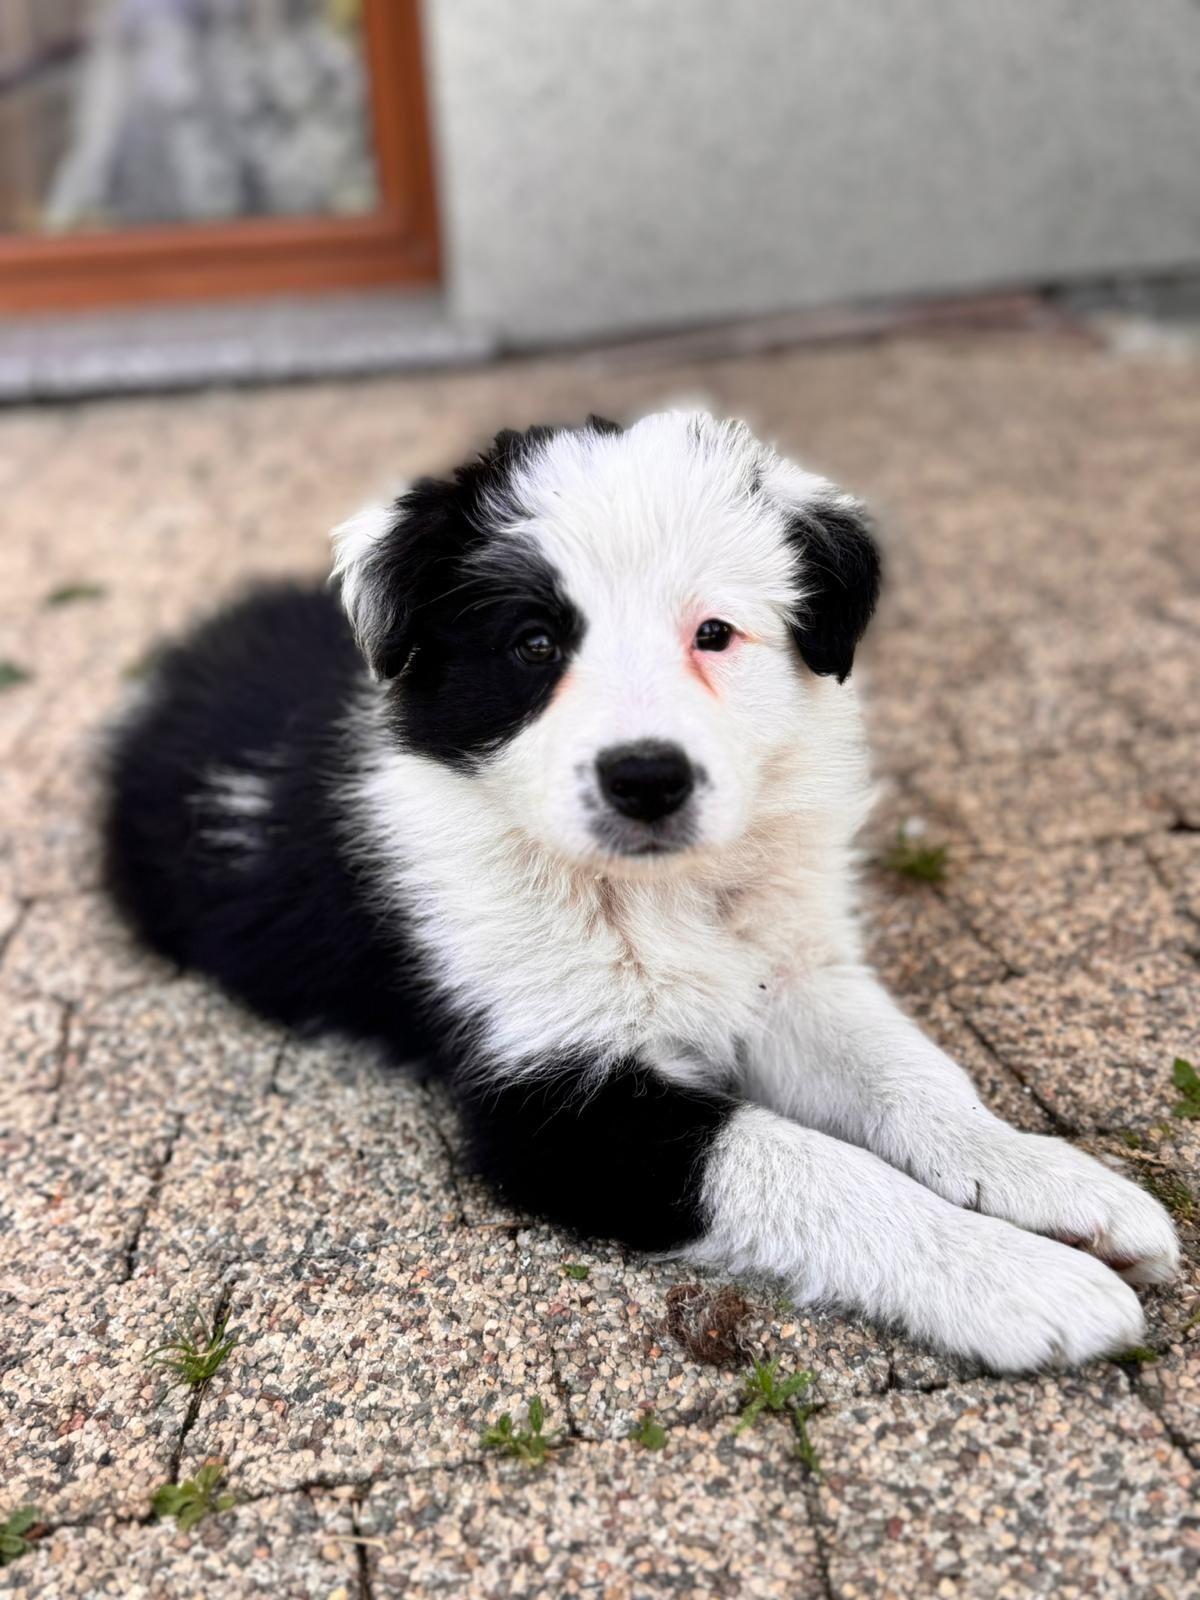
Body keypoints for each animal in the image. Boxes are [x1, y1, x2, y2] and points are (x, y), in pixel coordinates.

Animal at [105, 409, 1184, 1363]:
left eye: (714, 633)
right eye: (535, 643)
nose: (647, 778)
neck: (656, 893)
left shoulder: (793, 972)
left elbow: (916, 1079)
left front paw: (1048, 1181)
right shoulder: (551, 1103)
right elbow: (806, 1164)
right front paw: (1018, 1281)